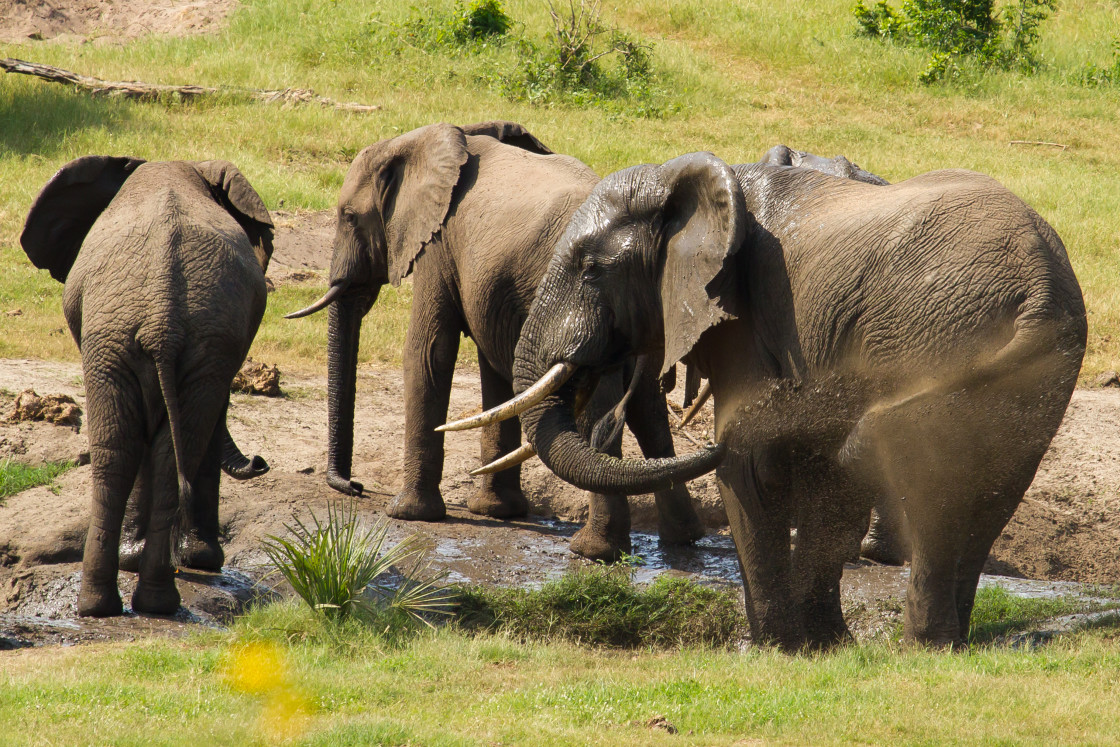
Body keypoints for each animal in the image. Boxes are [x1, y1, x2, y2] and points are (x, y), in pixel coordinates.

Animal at [19, 154, 275, 618]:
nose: (260, 461)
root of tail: (162, 321)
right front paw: (196, 560)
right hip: (135, 339)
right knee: (147, 450)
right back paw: (126, 601)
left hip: (135, 339)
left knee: (135, 449)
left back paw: (124, 602)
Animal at [288, 119, 703, 557]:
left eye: (349, 217)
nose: (355, 486)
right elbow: (493, 369)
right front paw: (496, 511)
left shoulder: (440, 243)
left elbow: (428, 351)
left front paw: (408, 515)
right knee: (647, 409)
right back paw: (683, 540)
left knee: (599, 410)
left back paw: (594, 551)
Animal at [448, 152, 1084, 649]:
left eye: (590, 269)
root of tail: (1040, 285)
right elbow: (824, 481)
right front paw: (826, 646)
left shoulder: (749, 321)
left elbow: (751, 465)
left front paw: (775, 647)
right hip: (1029, 373)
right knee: (990, 489)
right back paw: (949, 643)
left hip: (935, 336)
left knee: (928, 479)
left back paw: (923, 646)